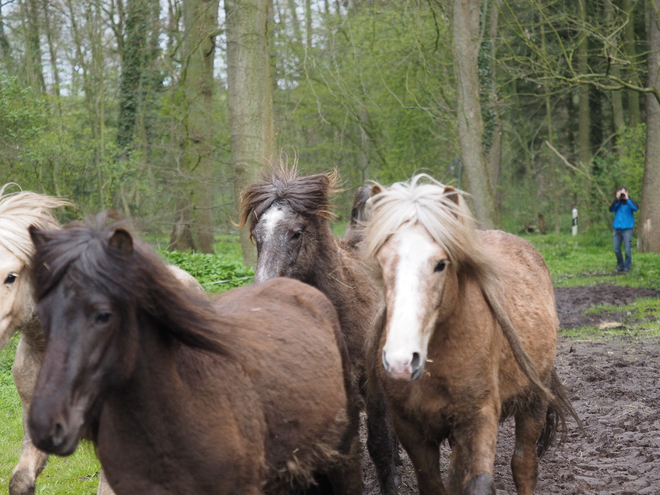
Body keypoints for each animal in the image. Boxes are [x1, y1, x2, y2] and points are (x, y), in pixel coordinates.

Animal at [364, 175, 580, 495]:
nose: (402, 361)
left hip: (533, 403)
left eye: (441, 264)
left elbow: (480, 482)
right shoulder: (410, 429)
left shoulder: (479, 416)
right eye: (381, 263)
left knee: (523, 465)